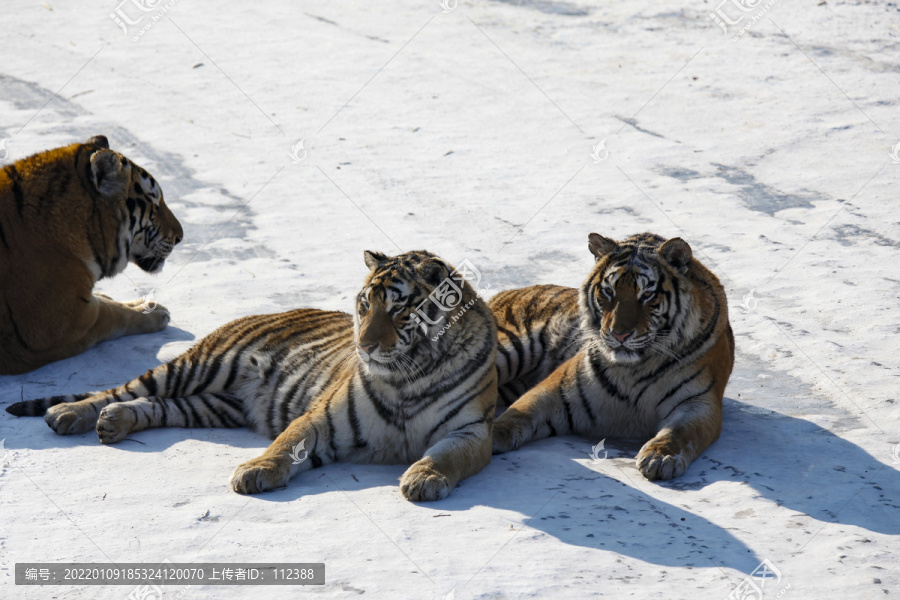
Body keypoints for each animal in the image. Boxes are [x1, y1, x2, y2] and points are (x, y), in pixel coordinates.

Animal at [7, 251, 496, 504]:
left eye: (398, 309)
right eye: (364, 305)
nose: (365, 346)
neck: (407, 377)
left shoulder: (470, 430)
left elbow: (447, 456)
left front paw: (423, 477)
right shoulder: (323, 417)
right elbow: (286, 443)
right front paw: (254, 471)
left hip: (211, 405)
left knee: (156, 405)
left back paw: (113, 422)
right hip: (196, 366)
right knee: (121, 389)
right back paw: (68, 414)